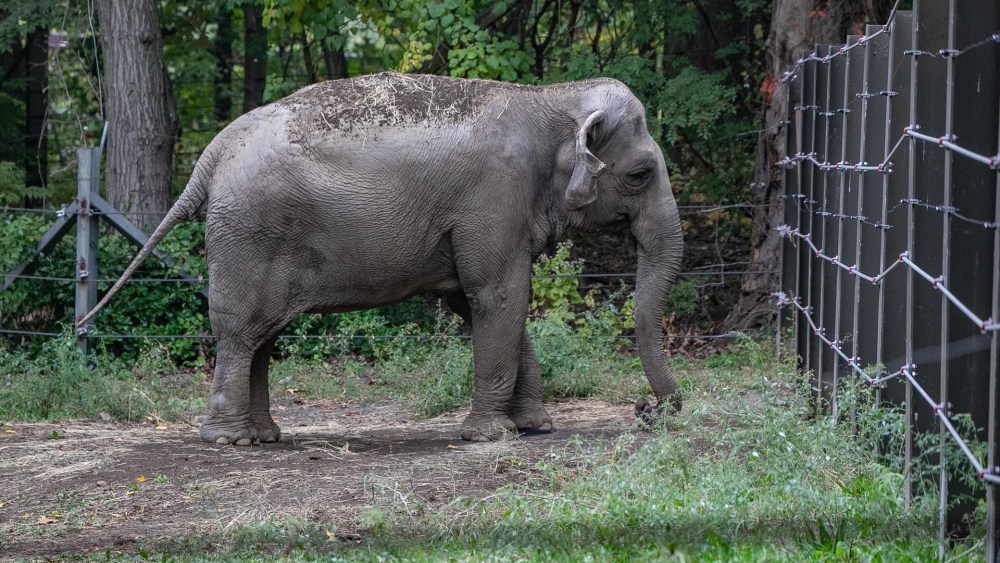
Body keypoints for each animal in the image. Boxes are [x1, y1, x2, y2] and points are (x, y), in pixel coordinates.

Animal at [78, 72, 684, 445]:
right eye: (640, 174)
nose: (649, 409)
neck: (550, 98)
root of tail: (212, 153)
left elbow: (478, 303)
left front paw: (534, 427)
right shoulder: (493, 200)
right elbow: (499, 295)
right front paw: (491, 436)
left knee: (262, 337)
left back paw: (266, 436)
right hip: (247, 235)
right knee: (239, 332)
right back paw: (230, 440)